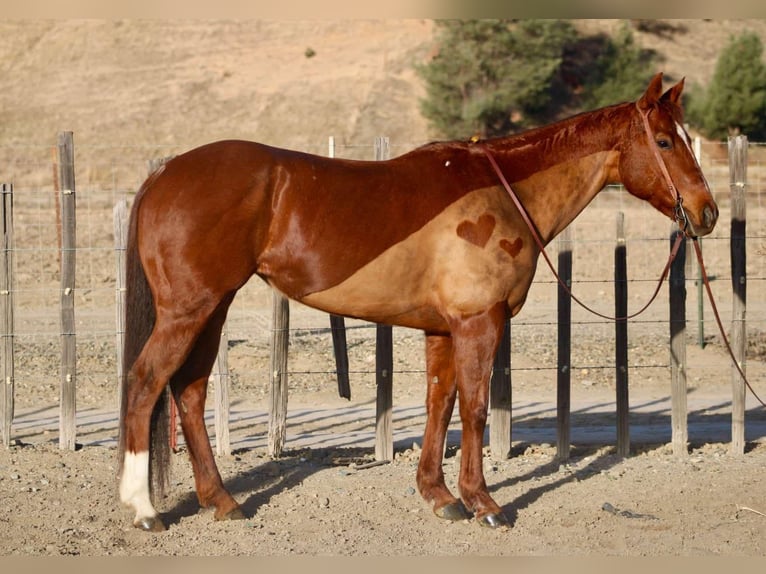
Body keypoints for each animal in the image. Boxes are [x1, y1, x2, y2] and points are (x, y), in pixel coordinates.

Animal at [117, 73, 718, 531]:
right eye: (665, 142)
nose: (706, 212)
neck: (501, 190)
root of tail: (165, 172)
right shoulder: (479, 322)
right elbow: (474, 409)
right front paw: (483, 502)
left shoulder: (444, 329)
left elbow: (440, 403)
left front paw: (439, 495)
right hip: (190, 309)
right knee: (147, 382)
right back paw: (144, 508)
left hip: (212, 308)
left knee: (188, 391)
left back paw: (221, 501)